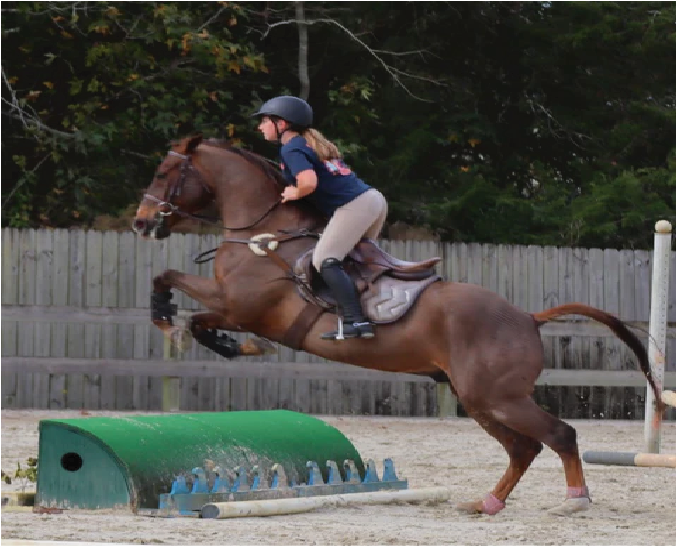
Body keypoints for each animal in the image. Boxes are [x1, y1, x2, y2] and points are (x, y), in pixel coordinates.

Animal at [133, 134, 664, 516]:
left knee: (558, 436)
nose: (139, 222)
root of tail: (526, 317)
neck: (264, 234)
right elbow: (176, 287)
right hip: (480, 399)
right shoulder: (234, 305)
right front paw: (205, 334)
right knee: (523, 448)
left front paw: (188, 330)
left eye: (162, 172)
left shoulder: (240, 307)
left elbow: (187, 301)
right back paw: (487, 503)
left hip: (498, 396)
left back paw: (574, 502)